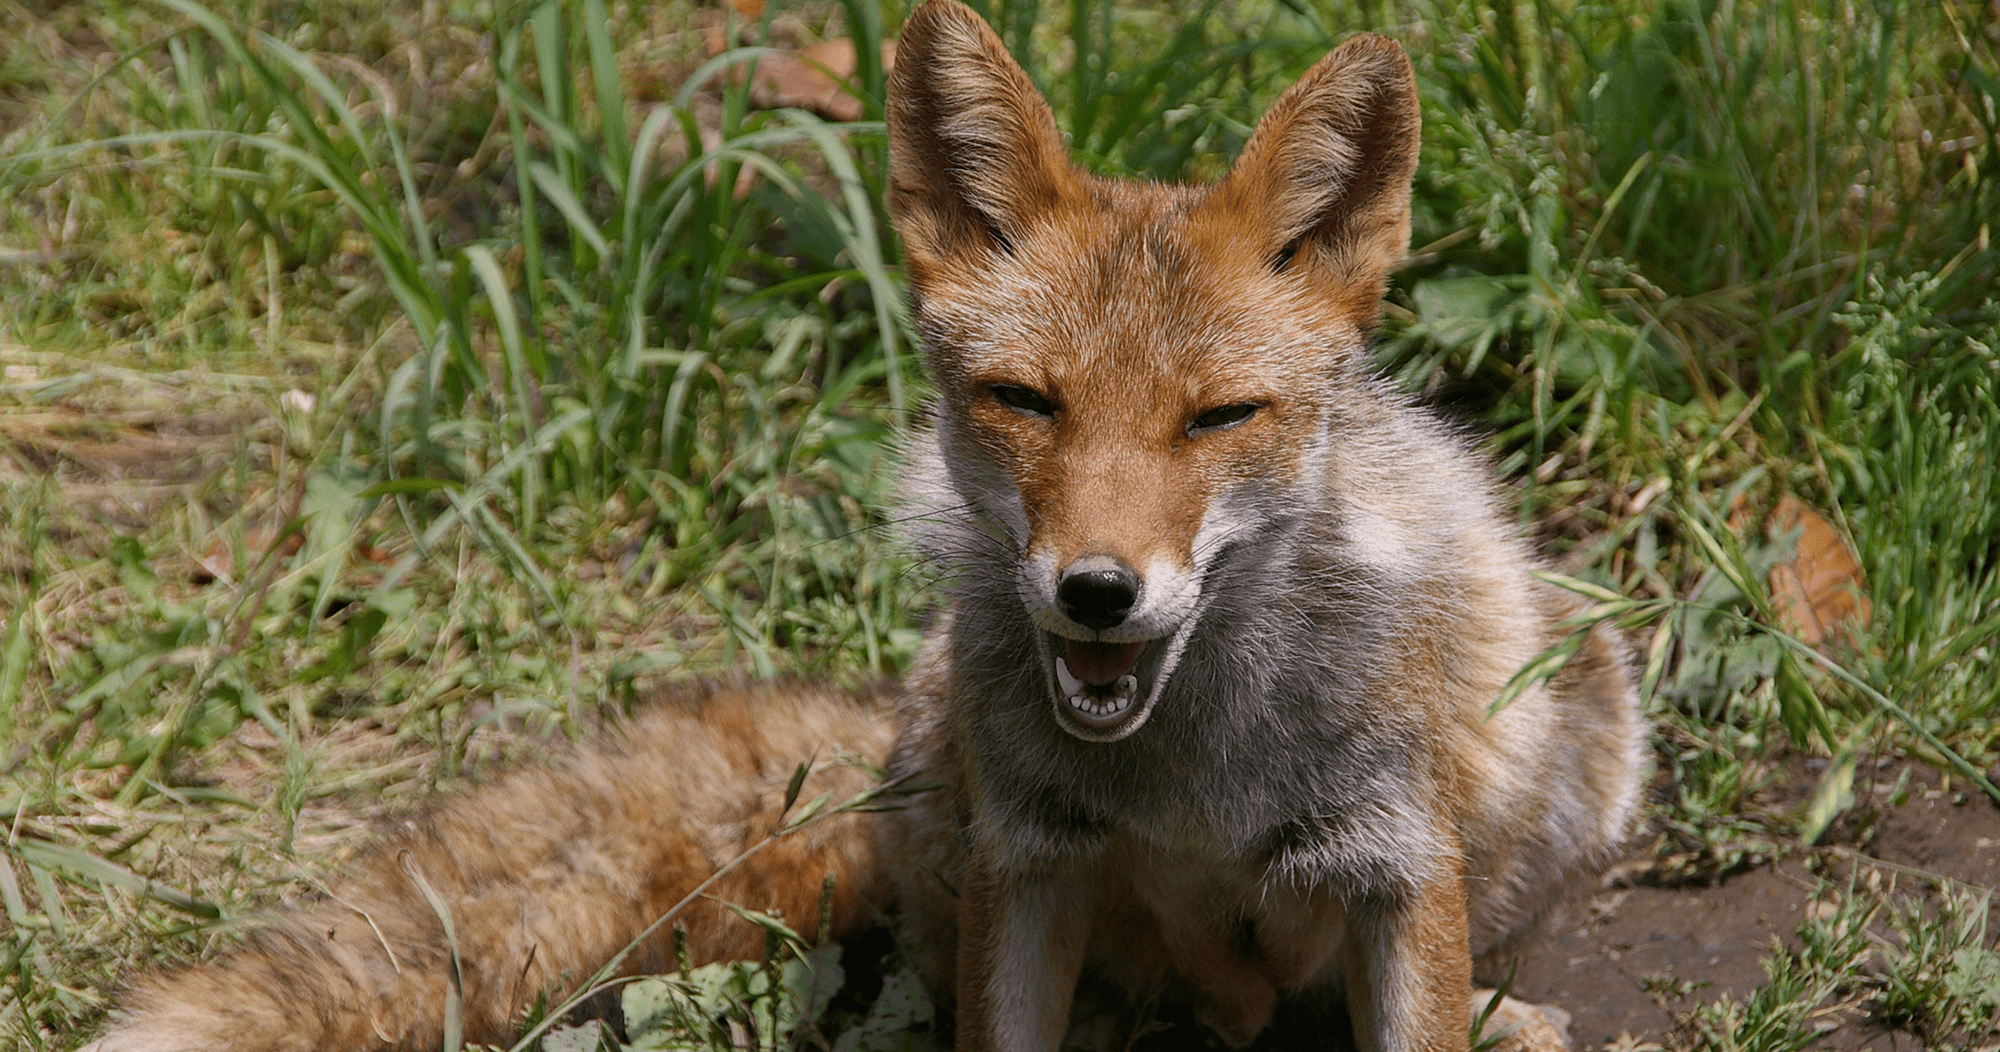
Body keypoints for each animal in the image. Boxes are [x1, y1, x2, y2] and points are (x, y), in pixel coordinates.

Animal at [82, 2, 1640, 1052]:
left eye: (1217, 419)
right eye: (1025, 401)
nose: (1095, 592)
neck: (1191, 783)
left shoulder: (1395, 866)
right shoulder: (1034, 869)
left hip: (1588, 709)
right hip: (973, 839)